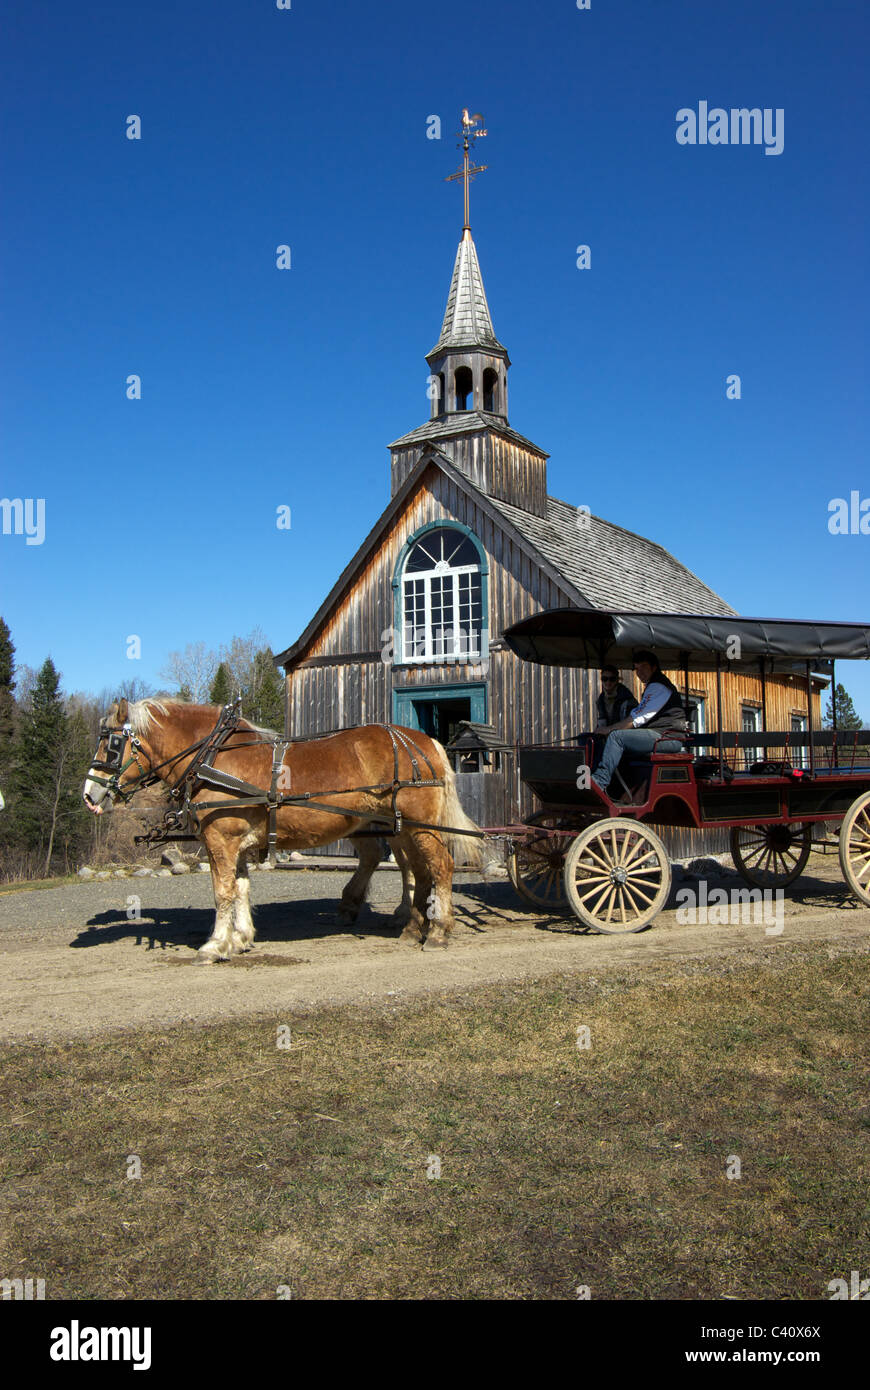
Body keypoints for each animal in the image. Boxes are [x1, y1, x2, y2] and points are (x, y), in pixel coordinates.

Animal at [82, 699, 483, 962]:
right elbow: (241, 888)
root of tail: (425, 742)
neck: (214, 757)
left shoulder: (220, 839)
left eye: (112, 743)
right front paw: (240, 938)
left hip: (416, 825)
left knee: (440, 867)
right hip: (400, 826)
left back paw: (437, 931)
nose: (89, 794)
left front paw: (214, 945)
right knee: (416, 870)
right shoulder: (237, 844)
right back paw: (412, 926)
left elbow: (222, 892)